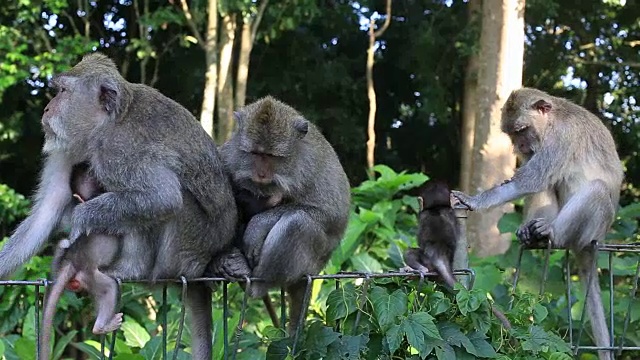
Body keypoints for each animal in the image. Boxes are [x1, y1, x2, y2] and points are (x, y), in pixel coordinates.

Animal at [0, 53, 244, 360]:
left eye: (63, 92)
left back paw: (131, 270)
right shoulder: (70, 147)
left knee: (165, 206)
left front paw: (81, 219)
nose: (46, 108)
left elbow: (162, 196)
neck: (106, 125)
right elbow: (47, 210)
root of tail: (202, 265)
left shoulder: (119, 151)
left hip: (186, 249)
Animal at [219, 96, 350, 334]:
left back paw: (255, 285)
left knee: (298, 223)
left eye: (271, 156)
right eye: (256, 154)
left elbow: (331, 215)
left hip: (311, 263)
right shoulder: (228, 156)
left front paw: (258, 224)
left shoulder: (314, 166)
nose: (261, 174)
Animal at [402, 180, 512, 330]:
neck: (437, 208)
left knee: (409, 253)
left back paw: (417, 268)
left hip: (426, 261)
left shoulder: (422, 217)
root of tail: (438, 254)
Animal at [450, 87, 624, 360]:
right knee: (550, 186)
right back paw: (531, 230)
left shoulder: (561, 137)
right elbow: (536, 182)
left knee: (594, 189)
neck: (552, 121)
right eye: (512, 134)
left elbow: (531, 179)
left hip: (595, 226)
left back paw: (551, 233)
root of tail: (599, 239)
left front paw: (474, 201)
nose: (519, 146)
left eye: (522, 130)